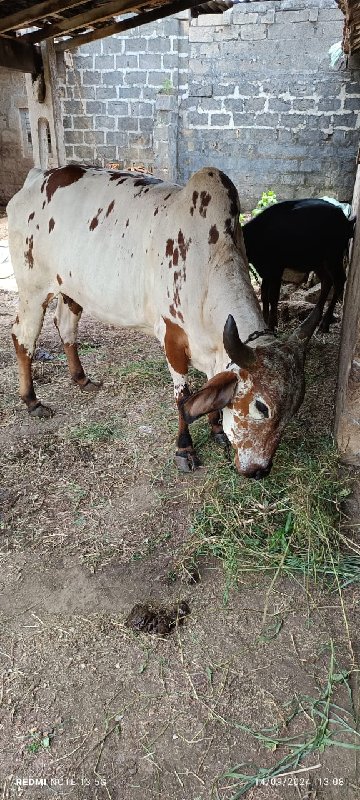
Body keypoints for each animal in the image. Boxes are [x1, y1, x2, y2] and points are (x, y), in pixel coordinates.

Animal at [7, 162, 320, 476]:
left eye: (293, 410)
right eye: (261, 407)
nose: (259, 470)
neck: (207, 268)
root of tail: (39, 176)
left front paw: (217, 431)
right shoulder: (172, 338)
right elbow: (183, 398)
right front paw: (185, 449)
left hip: (72, 289)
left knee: (66, 326)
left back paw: (82, 379)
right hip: (33, 289)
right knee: (22, 337)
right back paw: (32, 401)